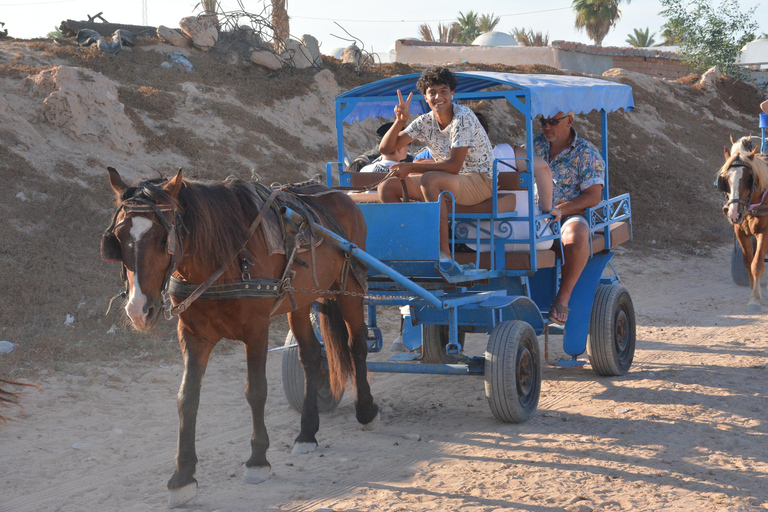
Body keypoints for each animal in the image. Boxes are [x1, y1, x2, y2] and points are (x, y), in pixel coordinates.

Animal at [102, 168, 378, 508]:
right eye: (119, 239)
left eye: (162, 238)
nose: (139, 310)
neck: (224, 259)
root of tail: (340, 194)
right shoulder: (193, 336)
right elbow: (187, 399)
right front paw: (183, 476)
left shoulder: (256, 330)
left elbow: (255, 391)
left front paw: (258, 460)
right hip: (300, 300)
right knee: (311, 355)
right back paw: (307, 432)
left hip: (349, 287)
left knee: (357, 345)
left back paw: (366, 410)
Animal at [716, 141, 768, 312]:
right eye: (725, 179)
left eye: (748, 178)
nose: (733, 213)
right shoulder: (740, 232)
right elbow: (748, 263)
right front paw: (755, 293)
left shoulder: (765, 233)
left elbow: (757, 264)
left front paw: (755, 300)